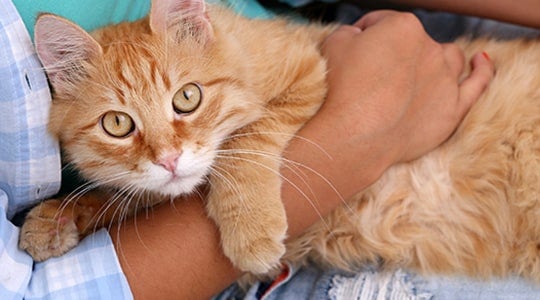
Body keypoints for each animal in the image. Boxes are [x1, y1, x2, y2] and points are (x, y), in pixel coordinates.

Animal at [19, 0, 536, 282]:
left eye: (187, 98)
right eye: (117, 124)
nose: (168, 158)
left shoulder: (310, 70)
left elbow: (245, 142)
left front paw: (249, 226)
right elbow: (135, 196)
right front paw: (57, 217)